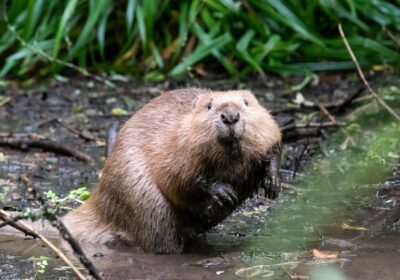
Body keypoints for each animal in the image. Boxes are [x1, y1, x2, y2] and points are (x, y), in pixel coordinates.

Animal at [63, 88, 282, 254]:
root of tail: (98, 202)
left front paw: (272, 185)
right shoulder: (175, 142)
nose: (230, 116)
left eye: (246, 103)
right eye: (209, 106)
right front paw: (223, 193)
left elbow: (274, 147)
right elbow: (178, 177)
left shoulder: (267, 130)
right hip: (143, 197)